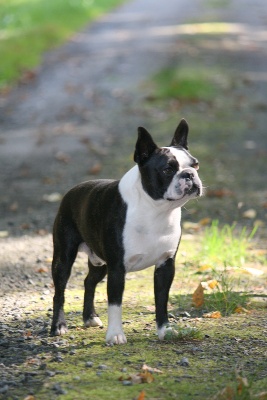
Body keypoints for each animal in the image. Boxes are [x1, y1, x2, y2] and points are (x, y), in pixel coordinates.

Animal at [50, 118, 203, 344]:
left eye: (195, 165)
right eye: (167, 169)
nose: (190, 174)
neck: (156, 210)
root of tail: (71, 191)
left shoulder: (165, 265)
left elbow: (162, 300)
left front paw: (164, 330)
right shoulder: (117, 268)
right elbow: (115, 303)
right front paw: (115, 335)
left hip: (100, 262)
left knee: (89, 281)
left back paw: (89, 317)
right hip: (64, 257)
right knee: (59, 291)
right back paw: (59, 326)